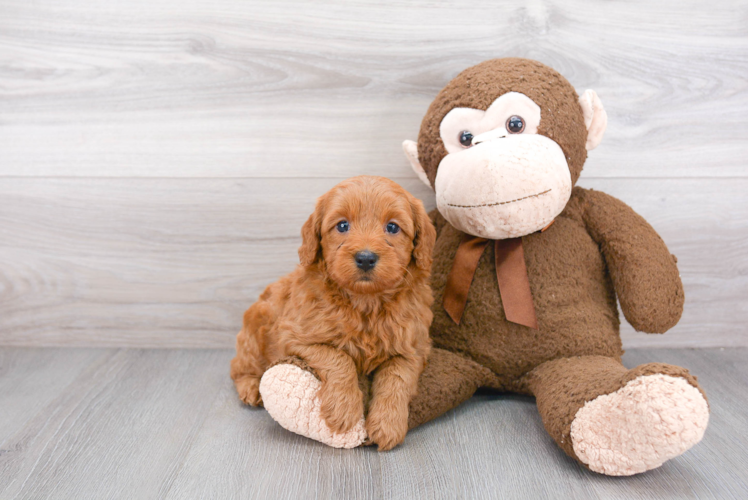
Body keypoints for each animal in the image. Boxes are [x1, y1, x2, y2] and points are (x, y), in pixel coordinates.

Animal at [231, 176, 436, 450]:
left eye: (393, 227)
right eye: (342, 225)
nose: (365, 258)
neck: (365, 303)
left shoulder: (413, 347)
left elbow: (397, 377)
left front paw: (388, 425)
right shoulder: (295, 337)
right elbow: (338, 357)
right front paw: (344, 410)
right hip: (254, 330)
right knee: (238, 367)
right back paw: (251, 386)